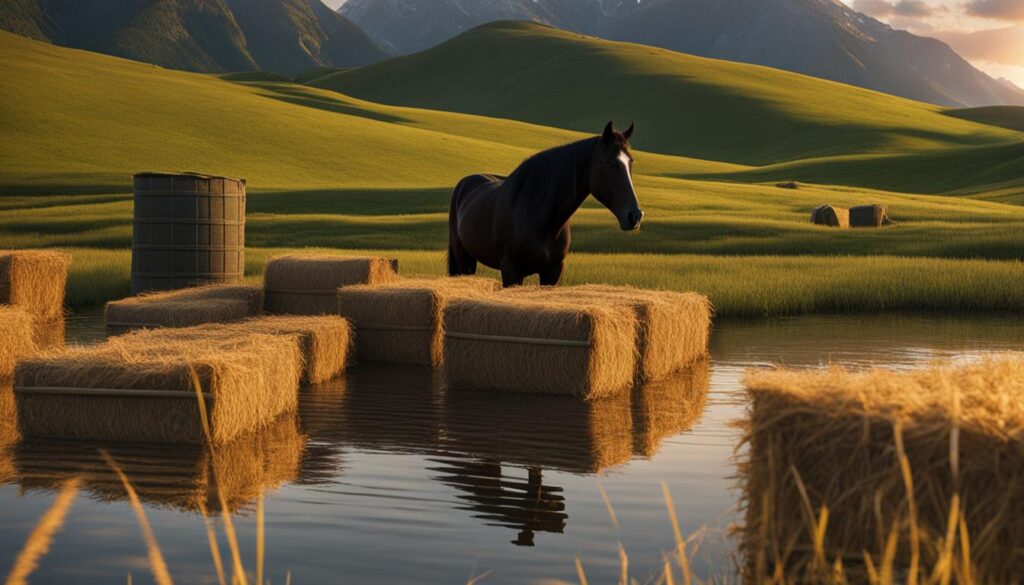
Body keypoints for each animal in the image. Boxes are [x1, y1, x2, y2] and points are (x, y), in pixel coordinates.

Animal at [447, 121, 643, 287]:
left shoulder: (552, 271)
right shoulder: (511, 269)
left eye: (631, 161)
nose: (635, 215)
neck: (539, 216)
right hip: (462, 257)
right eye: (609, 163)